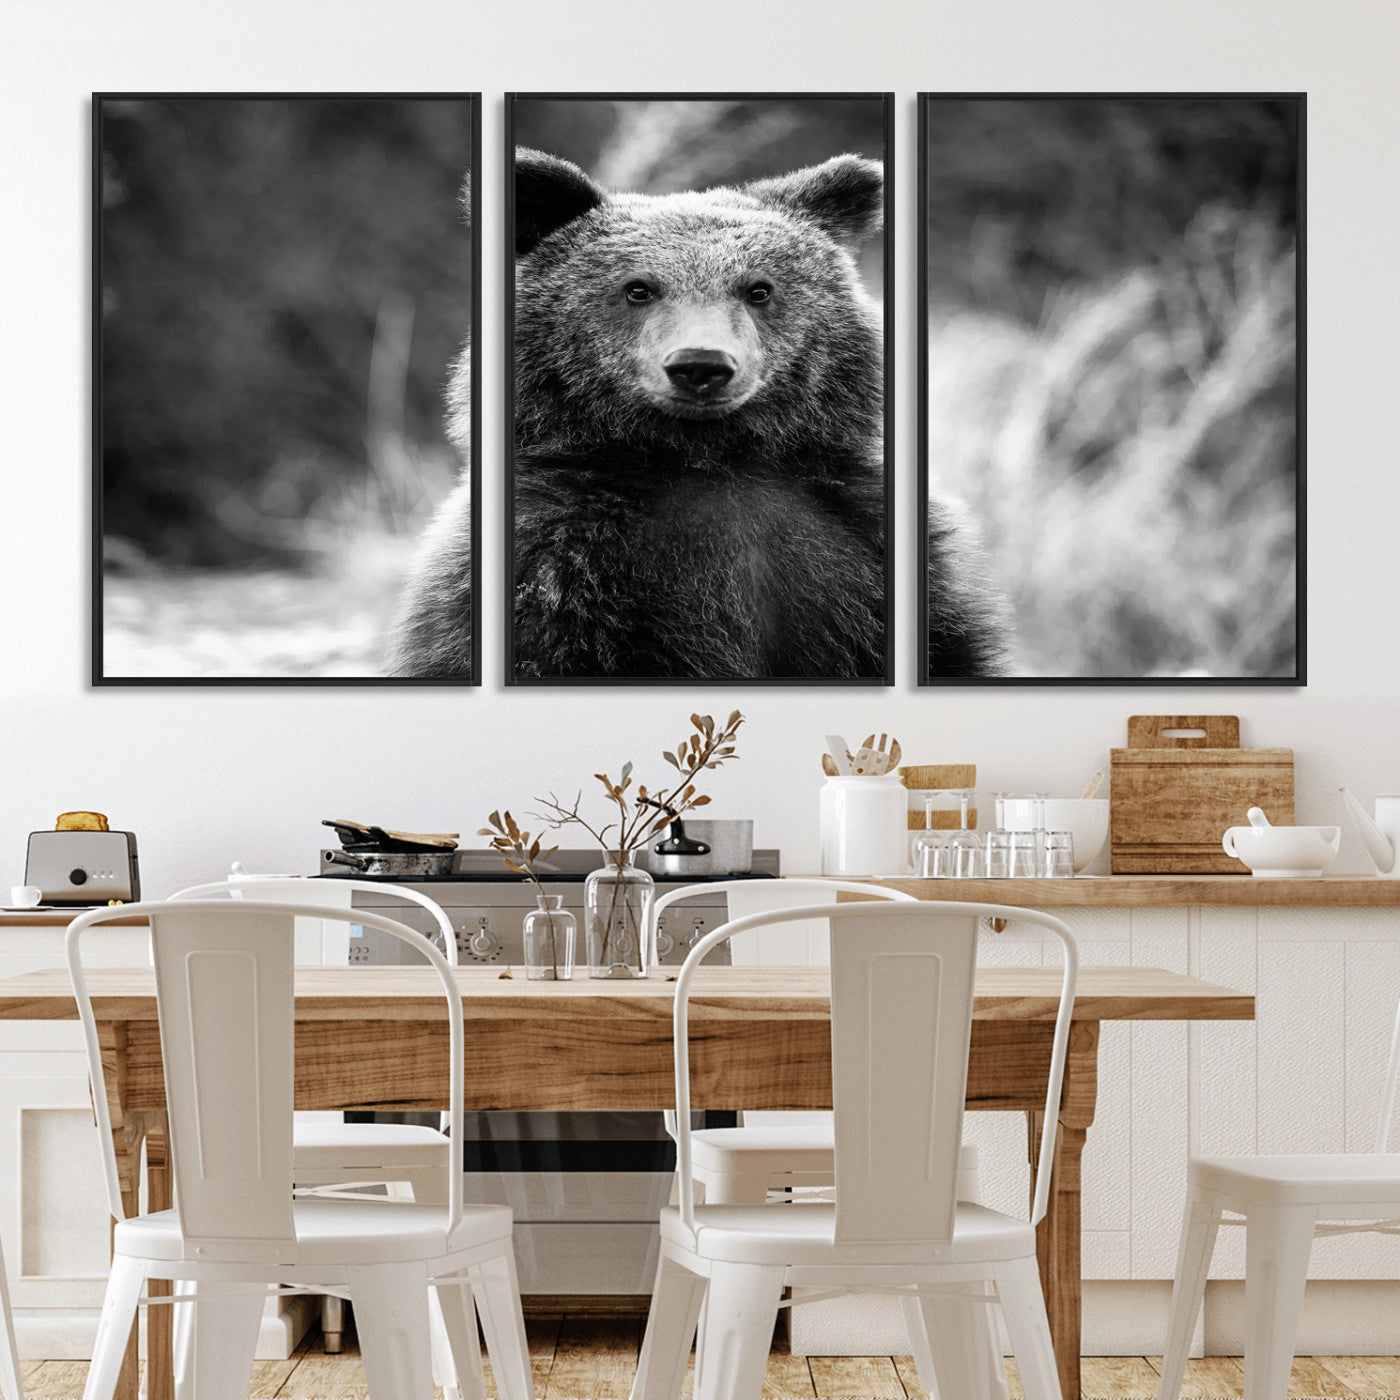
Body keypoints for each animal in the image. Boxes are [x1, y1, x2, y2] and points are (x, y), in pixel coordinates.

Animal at [387, 147, 1008, 681]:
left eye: (758, 289)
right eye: (638, 289)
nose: (701, 365)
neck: (707, 459)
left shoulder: (856, 543)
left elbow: (947, 645)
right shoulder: (558, 563)